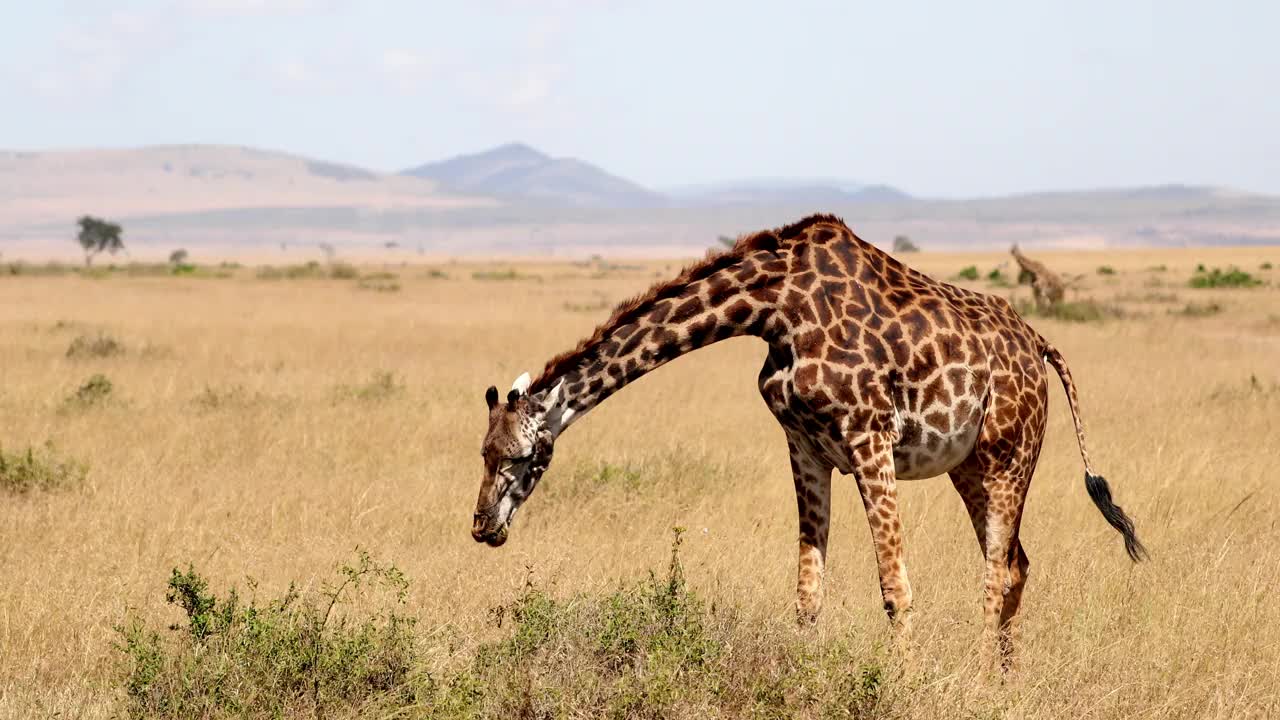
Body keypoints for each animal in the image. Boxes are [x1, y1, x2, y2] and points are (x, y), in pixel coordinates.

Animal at [473, 212, 1152, 666]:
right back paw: (1005, 676)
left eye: (523, 456)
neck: (773, 310)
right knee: (1015, 563)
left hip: (1012, 453)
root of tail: (1040, 344)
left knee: (995, 572)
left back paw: (982, 679)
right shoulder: (804, 446)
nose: (482, 526)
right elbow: (807, 590)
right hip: (972, 465)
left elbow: (895, 589)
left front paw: (902, 682)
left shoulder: (870, 436)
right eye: (481, 453)